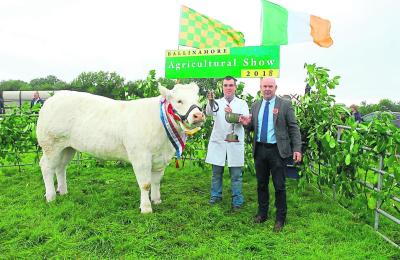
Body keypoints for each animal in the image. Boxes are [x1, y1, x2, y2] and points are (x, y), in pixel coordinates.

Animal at [37, 83, 205, 213]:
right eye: (179, 101)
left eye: (198, 100)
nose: (198, 115)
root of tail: (51, 99)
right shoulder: (140, 156)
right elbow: (145, 184)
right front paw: (146, 208)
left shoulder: (161, 158)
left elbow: (156, 181)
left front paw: (156, 200)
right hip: (51, 144)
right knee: (46, 167)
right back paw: (51, 196)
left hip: (67, 147)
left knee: (60, 167)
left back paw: (63, 191)